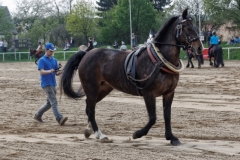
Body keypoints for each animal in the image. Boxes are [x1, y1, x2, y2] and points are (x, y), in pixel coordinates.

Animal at [59, 9, 202, 146]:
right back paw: (100, 134)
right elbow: (153, 118)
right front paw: (137, 134)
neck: (159, 61)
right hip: (91, 88)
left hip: (103, 89)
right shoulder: (149, 93)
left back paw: (89, 130)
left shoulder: (169, 93)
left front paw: (171, 137)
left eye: (194, 26)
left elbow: (167, 116)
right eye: (188, 27)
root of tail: (86, 53)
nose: (199, 47)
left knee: (89, 107)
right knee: (91, 110)